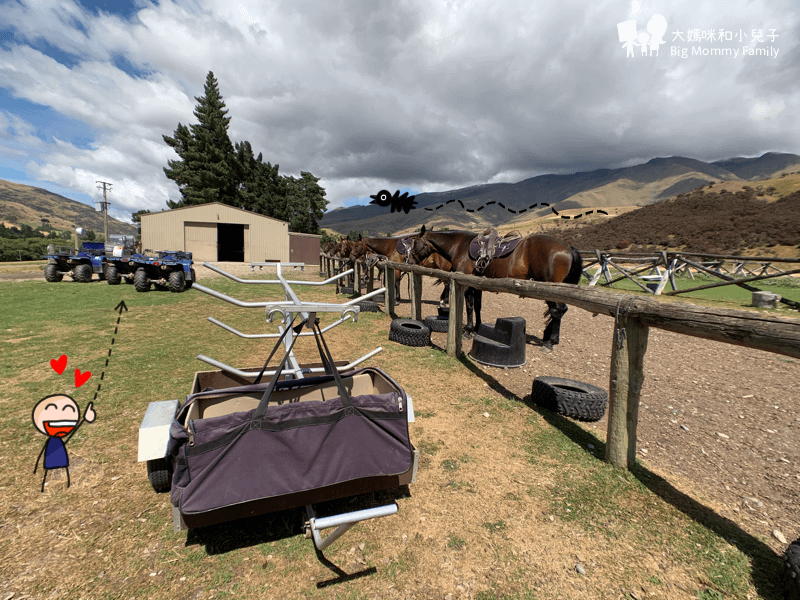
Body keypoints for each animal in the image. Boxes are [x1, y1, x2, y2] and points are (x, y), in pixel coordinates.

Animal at [412, 224, 580, 346]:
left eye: (415, 243)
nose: (411, 259)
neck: (459, 245)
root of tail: (568, 248)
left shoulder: (466, 284)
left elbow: (470, 306)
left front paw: (468, 330)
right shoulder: (477, 284)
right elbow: (477, 306)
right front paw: (477, 328)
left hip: (549, 289)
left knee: (556, 311)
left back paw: (550, 341)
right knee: (561, 310)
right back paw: (549, 337)